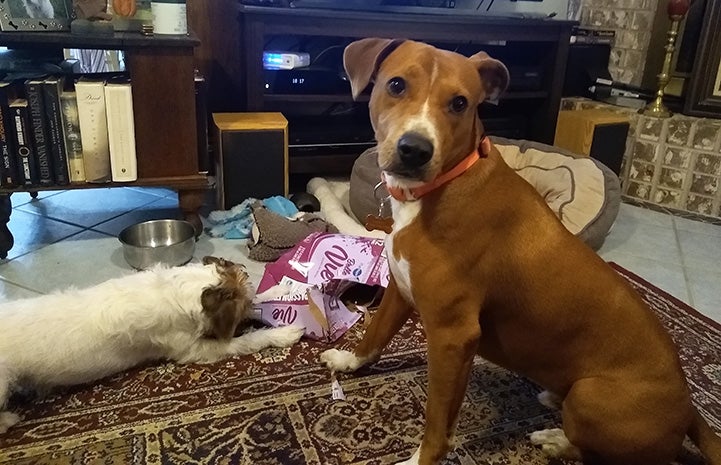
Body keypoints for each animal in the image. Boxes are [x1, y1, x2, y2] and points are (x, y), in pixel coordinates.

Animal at [0, 254, 302, 432]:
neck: (175, 290)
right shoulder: (197, 349)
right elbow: (247, 339)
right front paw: (284, 333)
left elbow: (260, 298)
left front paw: (279, 289)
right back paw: (9, 420)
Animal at [320, 39, 720, 464]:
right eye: (396, 84)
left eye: (460, 103)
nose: (415, 149)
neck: (440, 187)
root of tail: (690, 408)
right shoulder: (400, 290)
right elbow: (375, 336)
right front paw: (348, 360)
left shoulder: (452, 335)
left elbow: (437, 420)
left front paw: (419, 458)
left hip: (591, 396)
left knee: (597, 451)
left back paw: (557, 439)